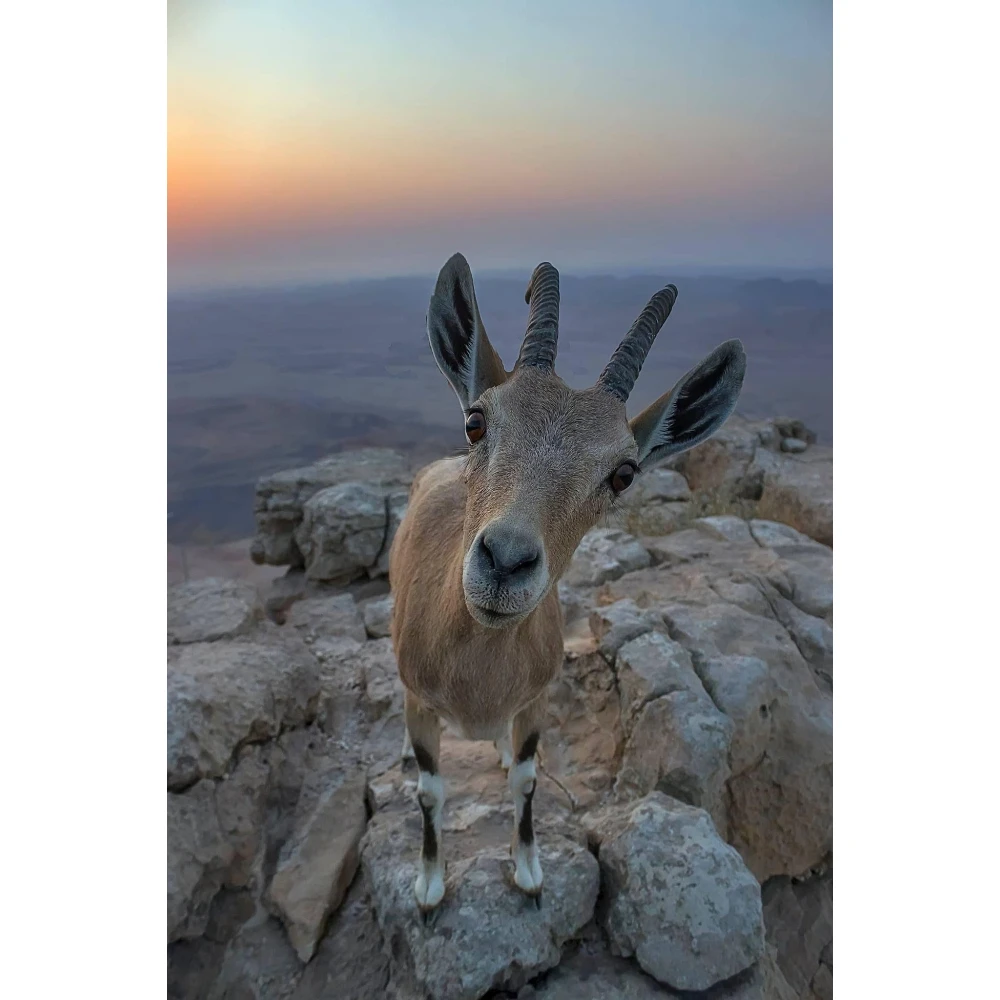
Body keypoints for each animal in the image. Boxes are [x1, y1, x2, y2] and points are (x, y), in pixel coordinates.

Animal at [389, 253, 746, 918]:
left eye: (624, 473)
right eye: (476, 422)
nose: (505, 562)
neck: (477, 678)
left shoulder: (536, 700)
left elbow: (527, 780)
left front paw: (529, 874)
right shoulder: (420, 703)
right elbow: (429, 791)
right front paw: (428, 886)